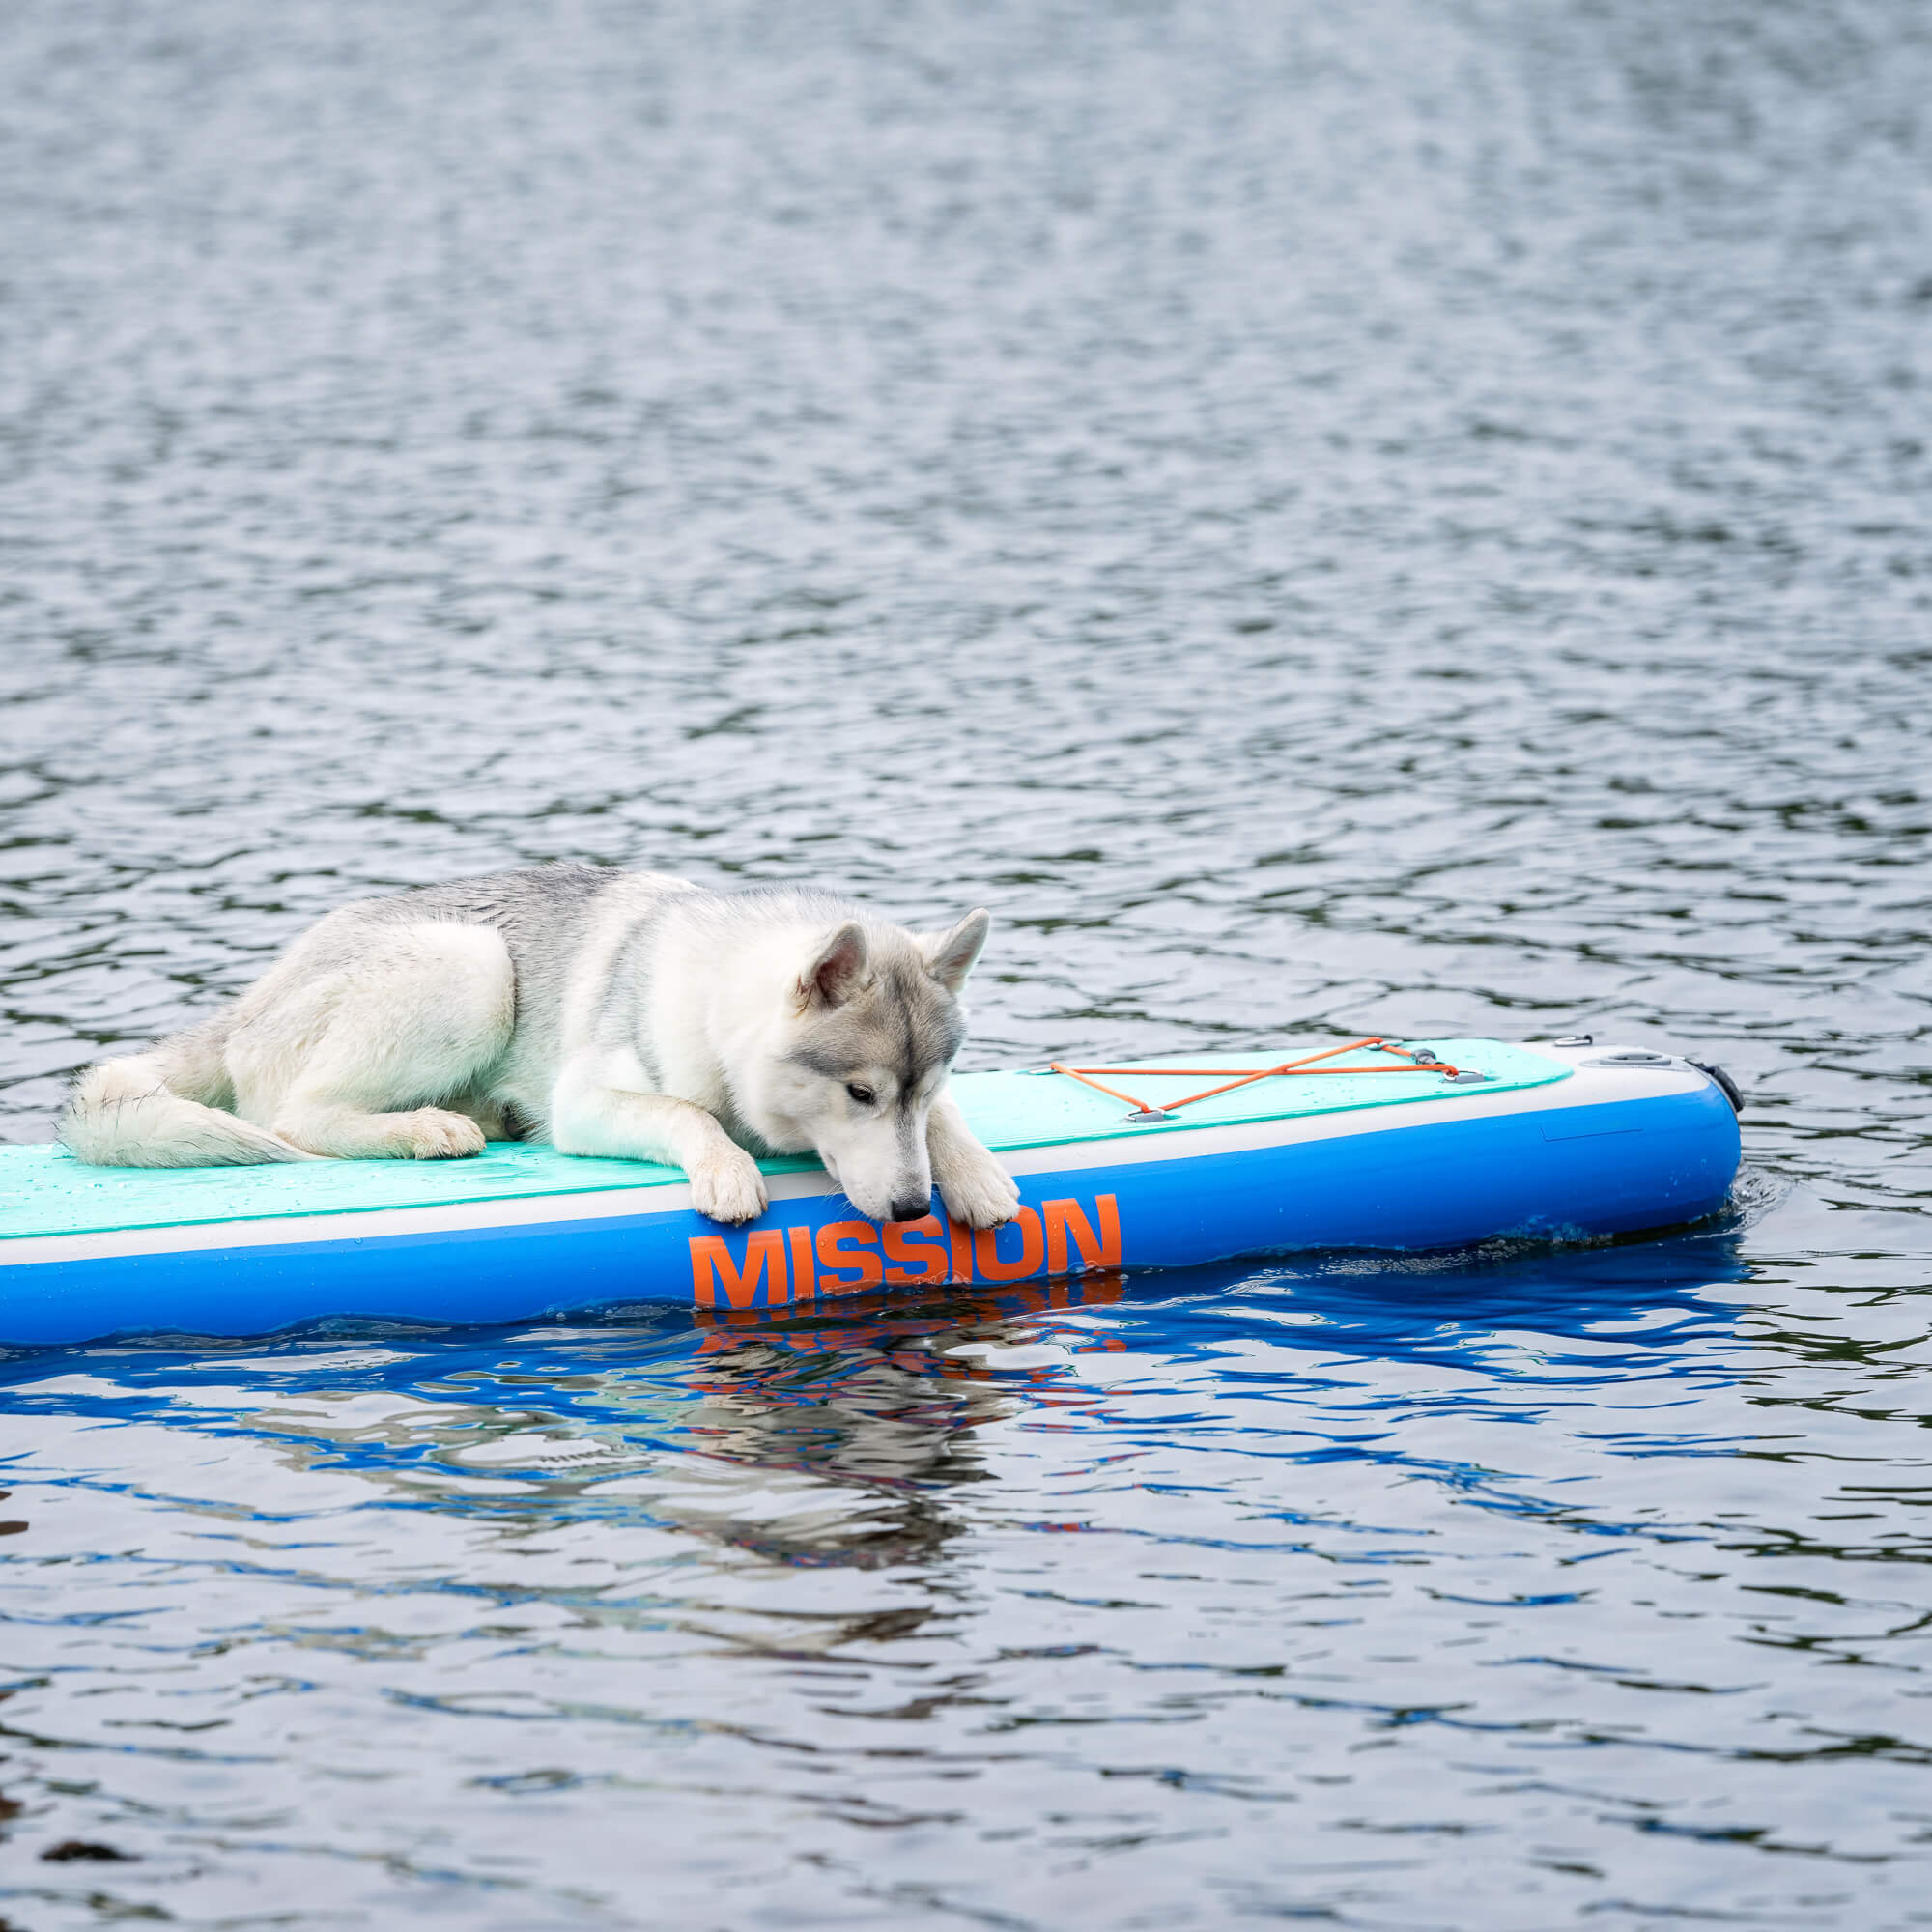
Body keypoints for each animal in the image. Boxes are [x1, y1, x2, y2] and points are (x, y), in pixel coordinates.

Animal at [56, 873, 1028, 1229]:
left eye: (916, 1091)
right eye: (860, 1095)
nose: (911, 1209)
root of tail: (250, 999)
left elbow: (953, 1125)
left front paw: (974, 1173)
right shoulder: (589, 1102)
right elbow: (684, 1114)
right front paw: (726, 1169)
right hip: (472, 966)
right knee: (295, 1119)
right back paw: (427, 1129)